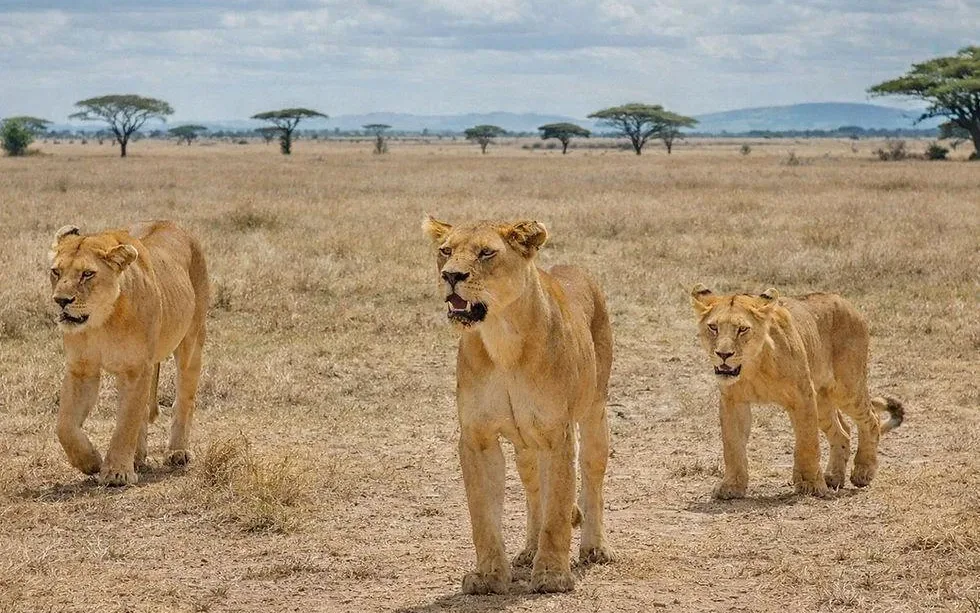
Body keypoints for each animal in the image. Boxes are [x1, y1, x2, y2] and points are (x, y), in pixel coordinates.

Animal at [48, 221, 209, 486]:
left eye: (87, 274)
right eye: (56, 272)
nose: (61, 300)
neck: (102, 322)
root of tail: (170, 223)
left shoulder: (136, 370)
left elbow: (126, 423)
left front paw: (116, 473)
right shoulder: (82, 369)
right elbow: (65, 426)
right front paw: (90, 461)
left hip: (191, 342)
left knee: (184, 398)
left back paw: (177, 452)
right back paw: (137, 457)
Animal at [423, 217, 614, 594]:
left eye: (486, 252)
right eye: (445, 251)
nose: (450, 276)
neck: (502, 339)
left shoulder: (557, 434)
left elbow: (558, 507)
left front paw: (552, 575)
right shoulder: (477, 437)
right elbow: (483, 515)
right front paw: (488, 577)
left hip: (594, 413)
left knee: (591, 475)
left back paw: (594, 548)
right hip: (526, 447)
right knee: (533, 489)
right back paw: (528, 550)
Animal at [690, 285, 904, 499]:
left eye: (742, 329)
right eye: (713, 327)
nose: (723, 354)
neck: (754, 367)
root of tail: (846, 303)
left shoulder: (802, 397)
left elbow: (807, 443)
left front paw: (810, 485)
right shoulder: (733, 401)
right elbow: (732, 446)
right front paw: (731, 487)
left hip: (847, 388)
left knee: (871, 419)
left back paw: (863, 472)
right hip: (822, 400)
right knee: (843, 431)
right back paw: (833, 477)